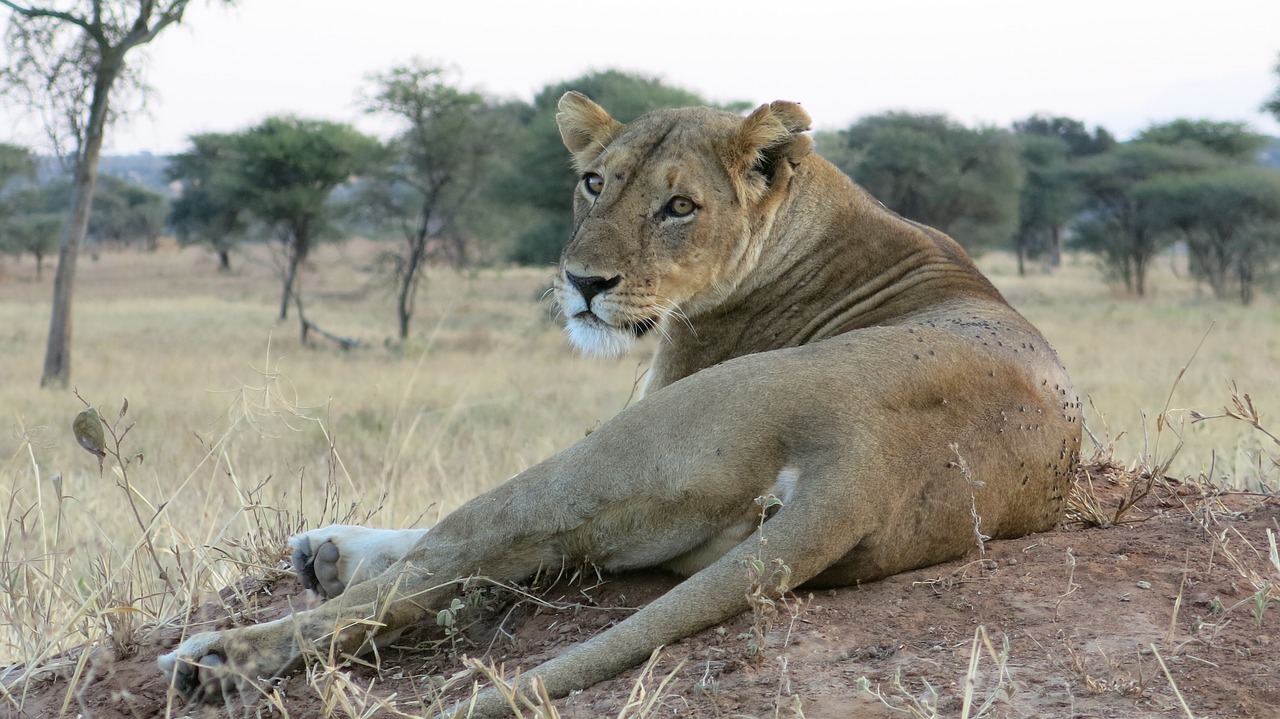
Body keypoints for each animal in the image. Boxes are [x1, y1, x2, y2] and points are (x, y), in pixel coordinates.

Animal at [157, 92, 1080, 711]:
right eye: (594, 183)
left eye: (679, 206)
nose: (583, 283)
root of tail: (868, 459)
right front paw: (325, 548)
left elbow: (433, 544)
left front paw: (328, 552)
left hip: (616, 448)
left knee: (444, 558)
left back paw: (217, 657)